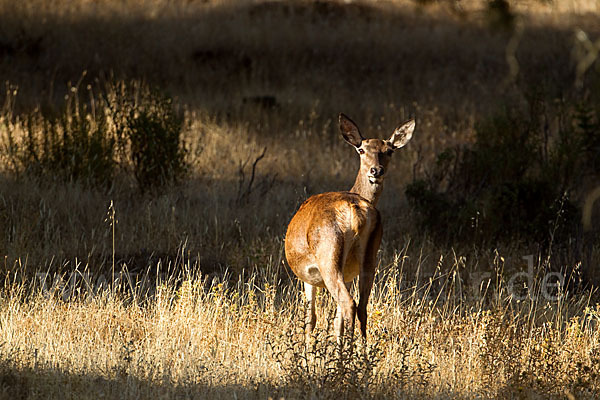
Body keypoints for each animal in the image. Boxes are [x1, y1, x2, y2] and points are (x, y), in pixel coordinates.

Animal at [284, 114, 414, 342]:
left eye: (389, 150)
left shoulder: (307, 276)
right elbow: (337, 322)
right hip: (370, 255)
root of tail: (356, 211)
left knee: (349, 304)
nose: (376, 170)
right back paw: (361, 350)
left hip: (328, 256)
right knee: (362, 307)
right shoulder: (348, 275)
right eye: (361, 150)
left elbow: (310, 319)